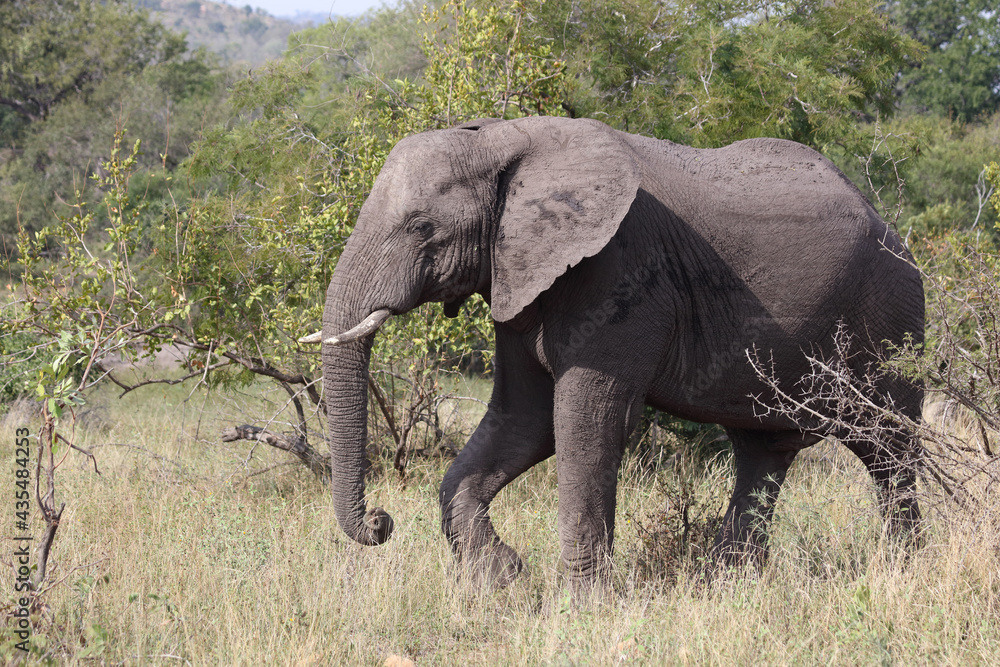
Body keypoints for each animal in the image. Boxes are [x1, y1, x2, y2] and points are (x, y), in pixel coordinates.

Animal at [300, 117, 924, 592]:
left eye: (422, 227)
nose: (381, 521)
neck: (504, 139)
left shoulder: (621, 273)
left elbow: (584, 424)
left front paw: (585, 606)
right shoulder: (519, 279)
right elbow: (524, 421)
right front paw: (505, 581)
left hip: (891, 316)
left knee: (887, 447)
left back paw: (902, 570)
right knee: (763, 452)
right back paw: (731, 585)